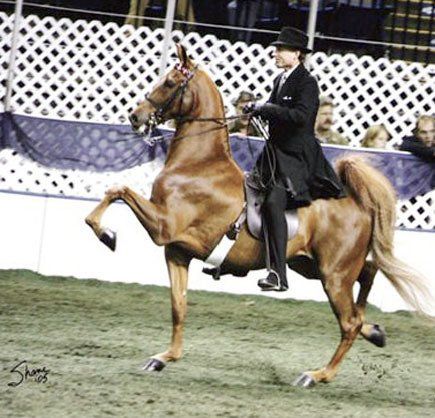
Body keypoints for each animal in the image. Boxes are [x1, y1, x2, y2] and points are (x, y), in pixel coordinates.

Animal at [85, 44, 433, 387]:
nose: (135, 116)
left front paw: (107, 235)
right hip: (313, 266)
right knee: (368, 278)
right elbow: (178, 306)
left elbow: (118, 191)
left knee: (349, 322)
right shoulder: (177, 252)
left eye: (170, 82)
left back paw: (316, 375)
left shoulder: (165, 227)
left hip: (333, 276)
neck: (198, 165)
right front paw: (163, 358)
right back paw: (375, 332)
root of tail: (356, 203)